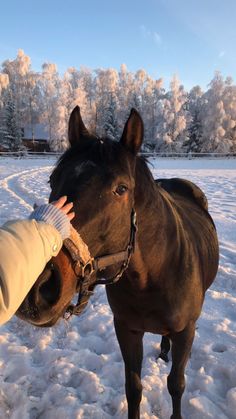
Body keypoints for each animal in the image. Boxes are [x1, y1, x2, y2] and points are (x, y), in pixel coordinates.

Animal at [17, 107, 219, 419]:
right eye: (52, 180)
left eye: (121, 189)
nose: (35, 288)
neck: (153, 277)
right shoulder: (126, 328)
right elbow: (133, 388)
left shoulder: (186, 331)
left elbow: (176, 384)